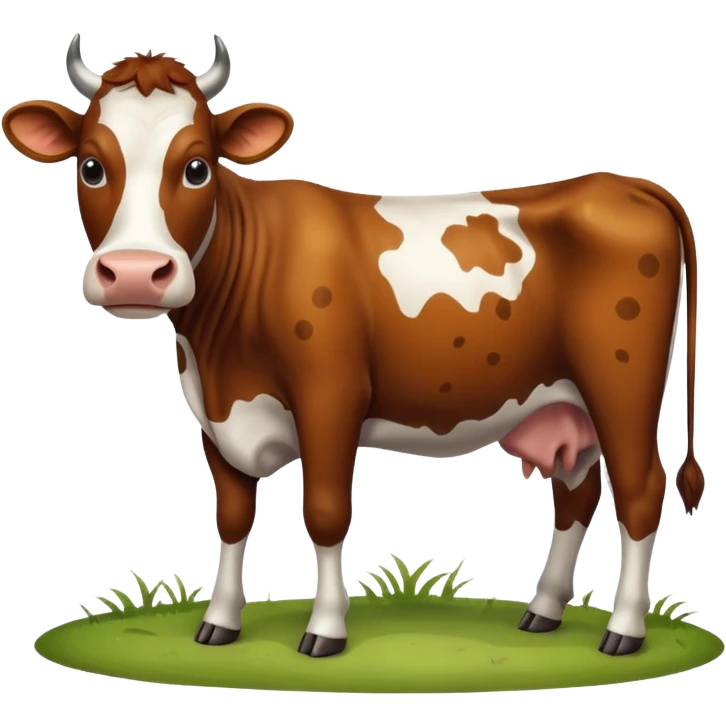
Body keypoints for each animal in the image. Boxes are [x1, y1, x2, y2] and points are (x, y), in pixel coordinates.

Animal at [2, 34, 705, 660]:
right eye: (90, 166)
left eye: (197, 166)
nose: (134, 273)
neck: (221, 351)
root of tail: (624, 184)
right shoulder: (214, 414)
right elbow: (232, 516)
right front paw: (219, 624)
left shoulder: (330, 397)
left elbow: (325, 511)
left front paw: (325, 631)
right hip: (564, 403)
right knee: (577, 492)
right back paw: (544, 612)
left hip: (622, 384)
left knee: (640, 490)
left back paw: (624, 631)